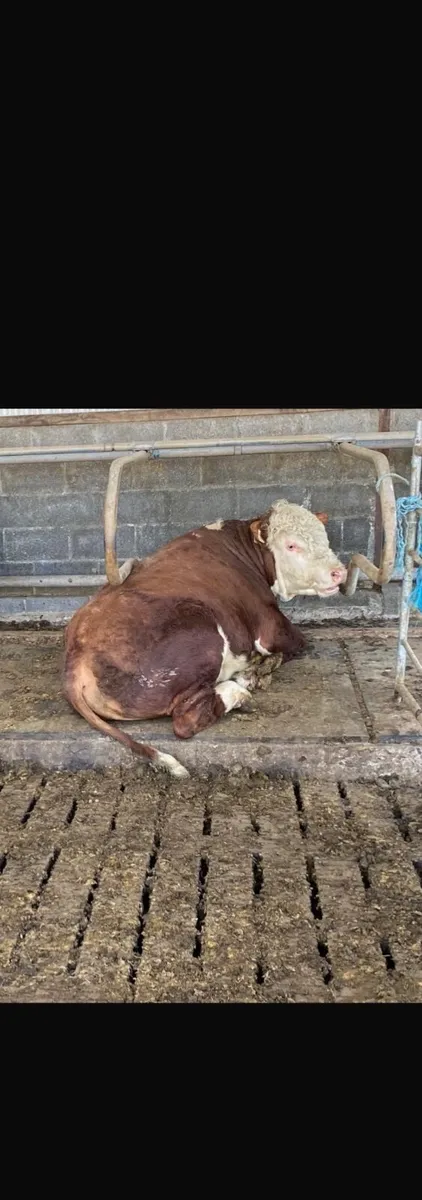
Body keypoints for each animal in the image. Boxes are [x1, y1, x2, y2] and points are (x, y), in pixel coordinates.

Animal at [63, 500, 347, 777]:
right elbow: (297, 643)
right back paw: (238, 689)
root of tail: (77, 656)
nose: (339, 572)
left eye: (325, 538)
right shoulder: (271, 628)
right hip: (202, 639)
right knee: (186, 719)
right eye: (291, 545)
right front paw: (256, 670)